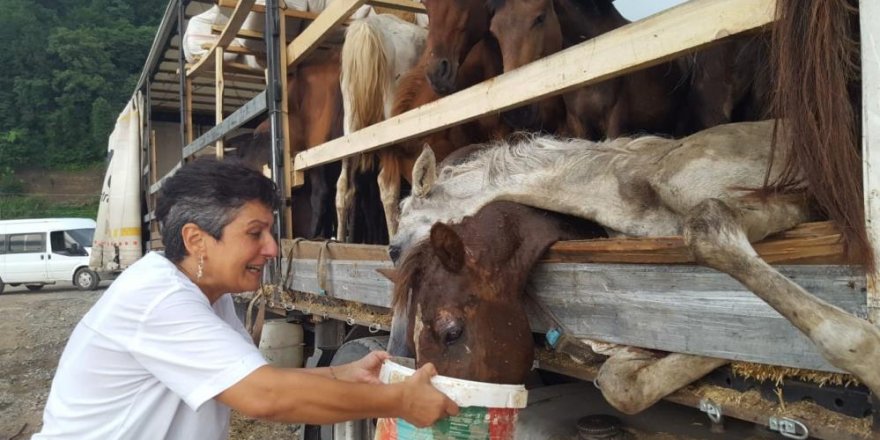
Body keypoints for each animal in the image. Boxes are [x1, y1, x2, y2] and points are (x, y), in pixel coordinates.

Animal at [392, 119, 880, 412]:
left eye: (396, 247)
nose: (396, 345)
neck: (626, 187)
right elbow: (626, 378)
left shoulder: (796, 201)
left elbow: (709, 231)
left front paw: (867, 353)